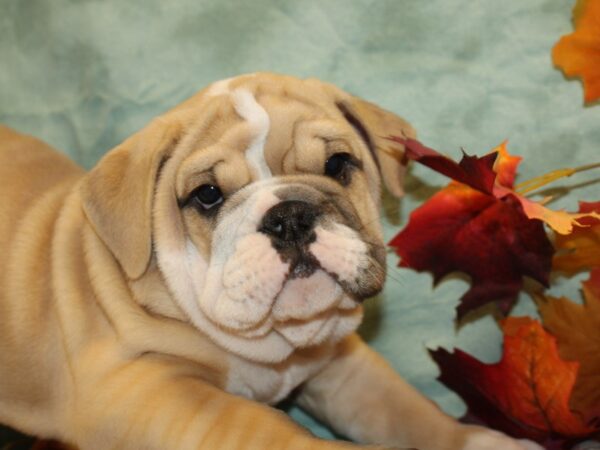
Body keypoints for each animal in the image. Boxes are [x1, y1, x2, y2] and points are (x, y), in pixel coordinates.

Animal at [0, 74, 544, 450]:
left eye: (337, 164)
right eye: (207, 195)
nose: (290, 216)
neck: (276, 346)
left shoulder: (343, 366)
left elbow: (405, 409)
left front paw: (479, 441)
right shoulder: (144, 390)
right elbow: (271, 429)